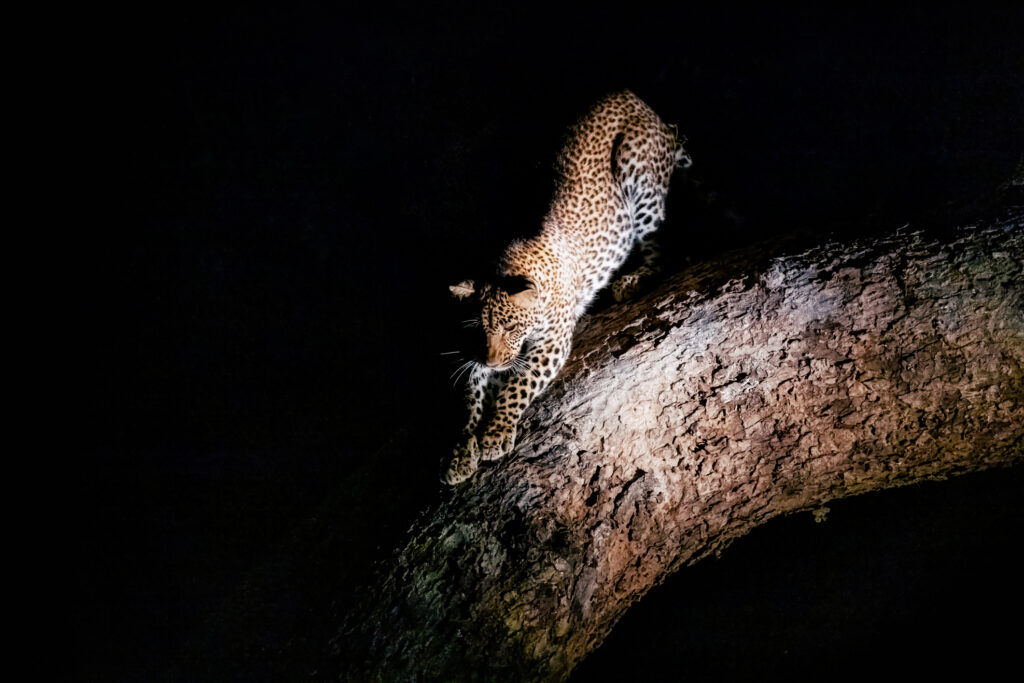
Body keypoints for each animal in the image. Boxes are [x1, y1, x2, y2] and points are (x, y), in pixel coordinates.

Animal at [444, 90, 691, 485]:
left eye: (511, 327)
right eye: (480, 329)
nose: (494, 361)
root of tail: (633, 98)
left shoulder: (552, 342)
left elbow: (517, 387)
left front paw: (495, 433)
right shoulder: (480, 354)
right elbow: (469, 400)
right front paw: (460, 454)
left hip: (636, 169)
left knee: (663, 246)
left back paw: (632, 281)